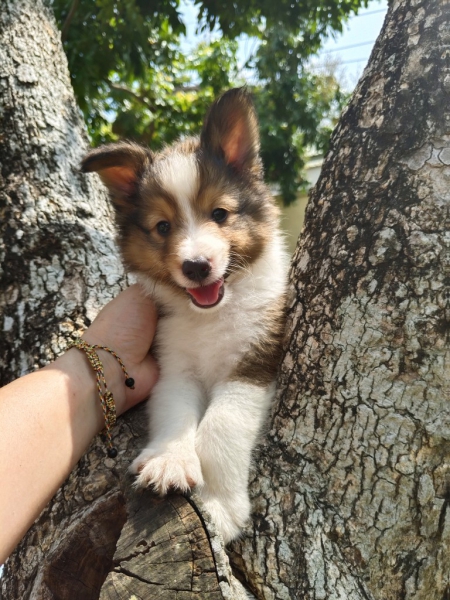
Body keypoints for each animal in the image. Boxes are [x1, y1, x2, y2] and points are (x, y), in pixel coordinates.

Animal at [81, 88, 289, 543]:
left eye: (220, 214)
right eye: (162, 227)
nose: (196, 266)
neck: (212, 315)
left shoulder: (255, 360)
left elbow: (220, 427)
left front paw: (220, 505)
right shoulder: (174, 366)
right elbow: (176, 414)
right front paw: (170, 462)